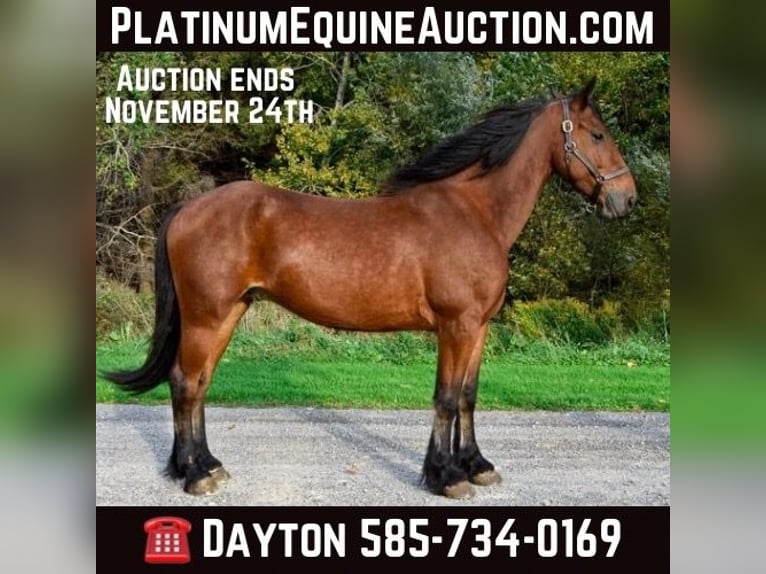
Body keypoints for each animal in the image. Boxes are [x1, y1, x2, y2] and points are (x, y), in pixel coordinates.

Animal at [105, 78, 637, 499]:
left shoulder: (478, 328)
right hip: (206, 316)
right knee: (185, 383)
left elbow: (468, 395)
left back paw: (206, 465)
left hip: (229, 313)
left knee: (197, 384)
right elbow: (446, 398)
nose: (626, 199)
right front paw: (446, 477)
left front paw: (476, 466)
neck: (474, 212)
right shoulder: (456, 326)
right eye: (596, 134)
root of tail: (187, 209)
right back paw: (195, 475)